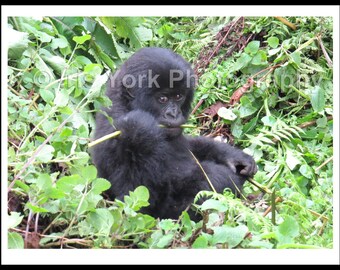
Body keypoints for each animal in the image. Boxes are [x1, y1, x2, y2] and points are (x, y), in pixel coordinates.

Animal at [91, 46, 256, 219]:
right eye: (162, 99)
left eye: (178, 96)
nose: (173, 114)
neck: (125, 103)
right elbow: (142, 204)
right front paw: (139, 126)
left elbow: (191, 145)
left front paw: (234, 157)